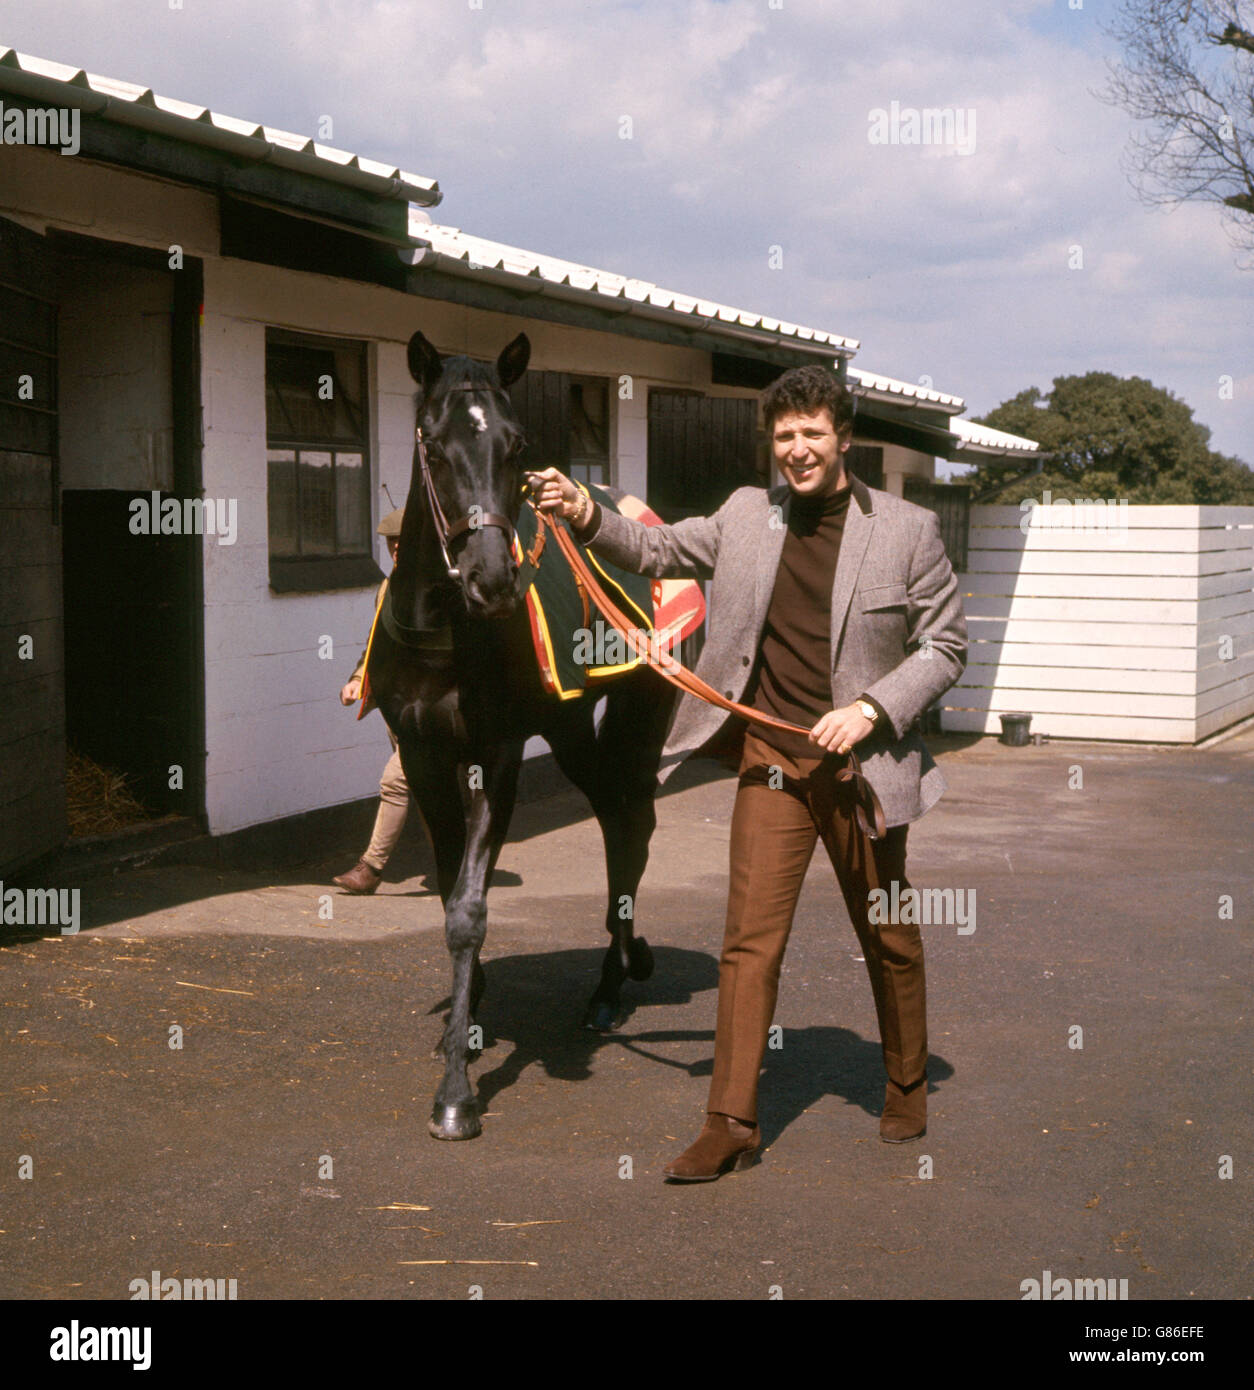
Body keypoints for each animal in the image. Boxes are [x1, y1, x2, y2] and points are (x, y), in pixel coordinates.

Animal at [367, 333, 678, 1139]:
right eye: (434, 447)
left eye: (517, 446)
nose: (493, 580)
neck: (446, 633)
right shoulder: (423, 754)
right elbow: (450, 888)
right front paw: (465, 1020)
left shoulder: (497, 755)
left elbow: (470, 910)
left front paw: (455, 1094)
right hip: (569, 728)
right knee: (615, 815)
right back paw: (626, 961)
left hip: (639, 710)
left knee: (631, 824)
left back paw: (609, 986)